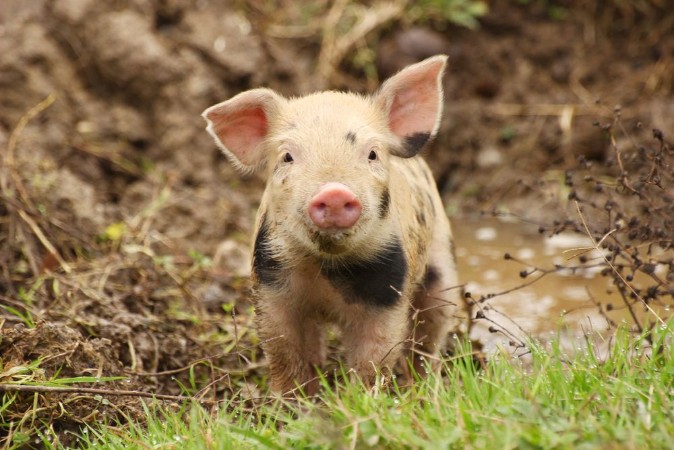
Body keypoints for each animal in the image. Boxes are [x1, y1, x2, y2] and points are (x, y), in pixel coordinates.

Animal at [202, 55, 464, 395]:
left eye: (372, 154)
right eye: (287, 157)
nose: (335, 192)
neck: (327, 270)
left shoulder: (388, 293)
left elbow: (374, 357)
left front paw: (361, 398)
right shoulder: (271, 286)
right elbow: (283, 351)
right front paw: (289, 402)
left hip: (442, 263)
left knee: (430, 336)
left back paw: (423, 390)